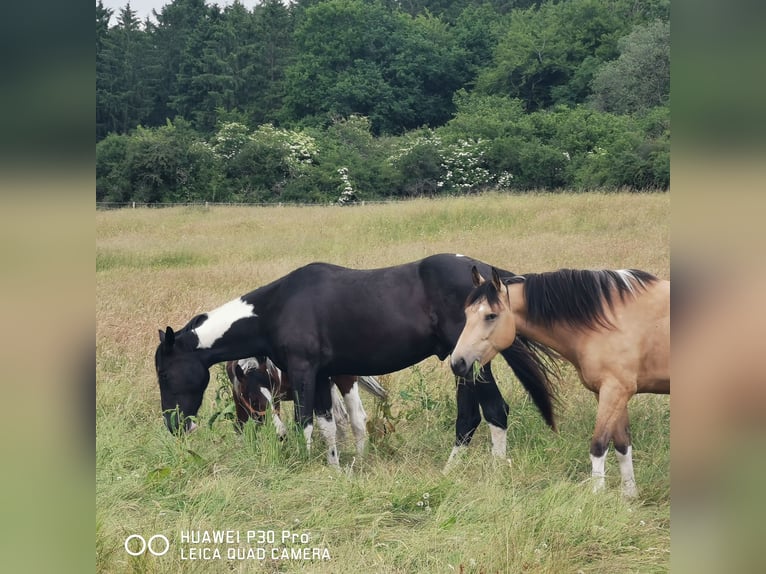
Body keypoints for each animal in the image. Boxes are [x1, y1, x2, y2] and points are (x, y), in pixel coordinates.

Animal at [226, 357, 387, 455]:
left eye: (273, 396)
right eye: (253, 401)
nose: (282, 434)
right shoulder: (239, 398)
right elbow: (239, 427)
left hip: (344, 379)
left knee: (357, 418)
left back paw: (359, 459)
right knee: (340, 418)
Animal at [450, 266, 669, 497]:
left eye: (491, 315)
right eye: (467, 314)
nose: (457, 363)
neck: (609, 320)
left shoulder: (615, 391)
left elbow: (598, 447)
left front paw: (596, 497)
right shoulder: (609, 393)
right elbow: (622, 446)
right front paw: (629, 497)